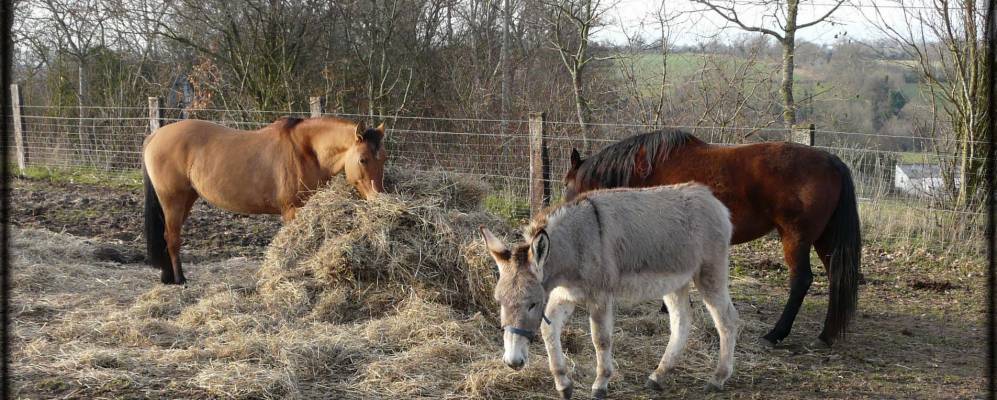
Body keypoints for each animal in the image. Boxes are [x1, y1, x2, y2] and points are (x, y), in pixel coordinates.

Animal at [144, 115, 386, 284]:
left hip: (187, 199)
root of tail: (154, 136)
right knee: (172, 239)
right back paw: (180, 279)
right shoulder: (291, 210)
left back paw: (168, 277)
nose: (378, 197)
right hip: (173, 201)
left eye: (383, 158)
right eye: (363, 159)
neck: (306, 151)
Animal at [482, 184, 740, 396]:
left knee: (727, 320)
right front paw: (563, 383)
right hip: (676, 281)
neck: (576, 244)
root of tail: (712, 199)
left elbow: (601, 339)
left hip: (710, 273)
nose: (513, 362)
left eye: (533, 304)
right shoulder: (565, 294)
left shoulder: (600, 297)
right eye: (499, 302)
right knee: (682, 321)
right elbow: (549, 329)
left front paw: (601, 384)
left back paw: (717, 378)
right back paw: (658, 375)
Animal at [564, 129, 860, 346]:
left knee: (801, 281)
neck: (646, 169)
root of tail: (832, 161)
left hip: (795, 237)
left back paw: (776, 334)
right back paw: (827, 334)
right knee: (836, 277)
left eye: (567, 184)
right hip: (824, 240)